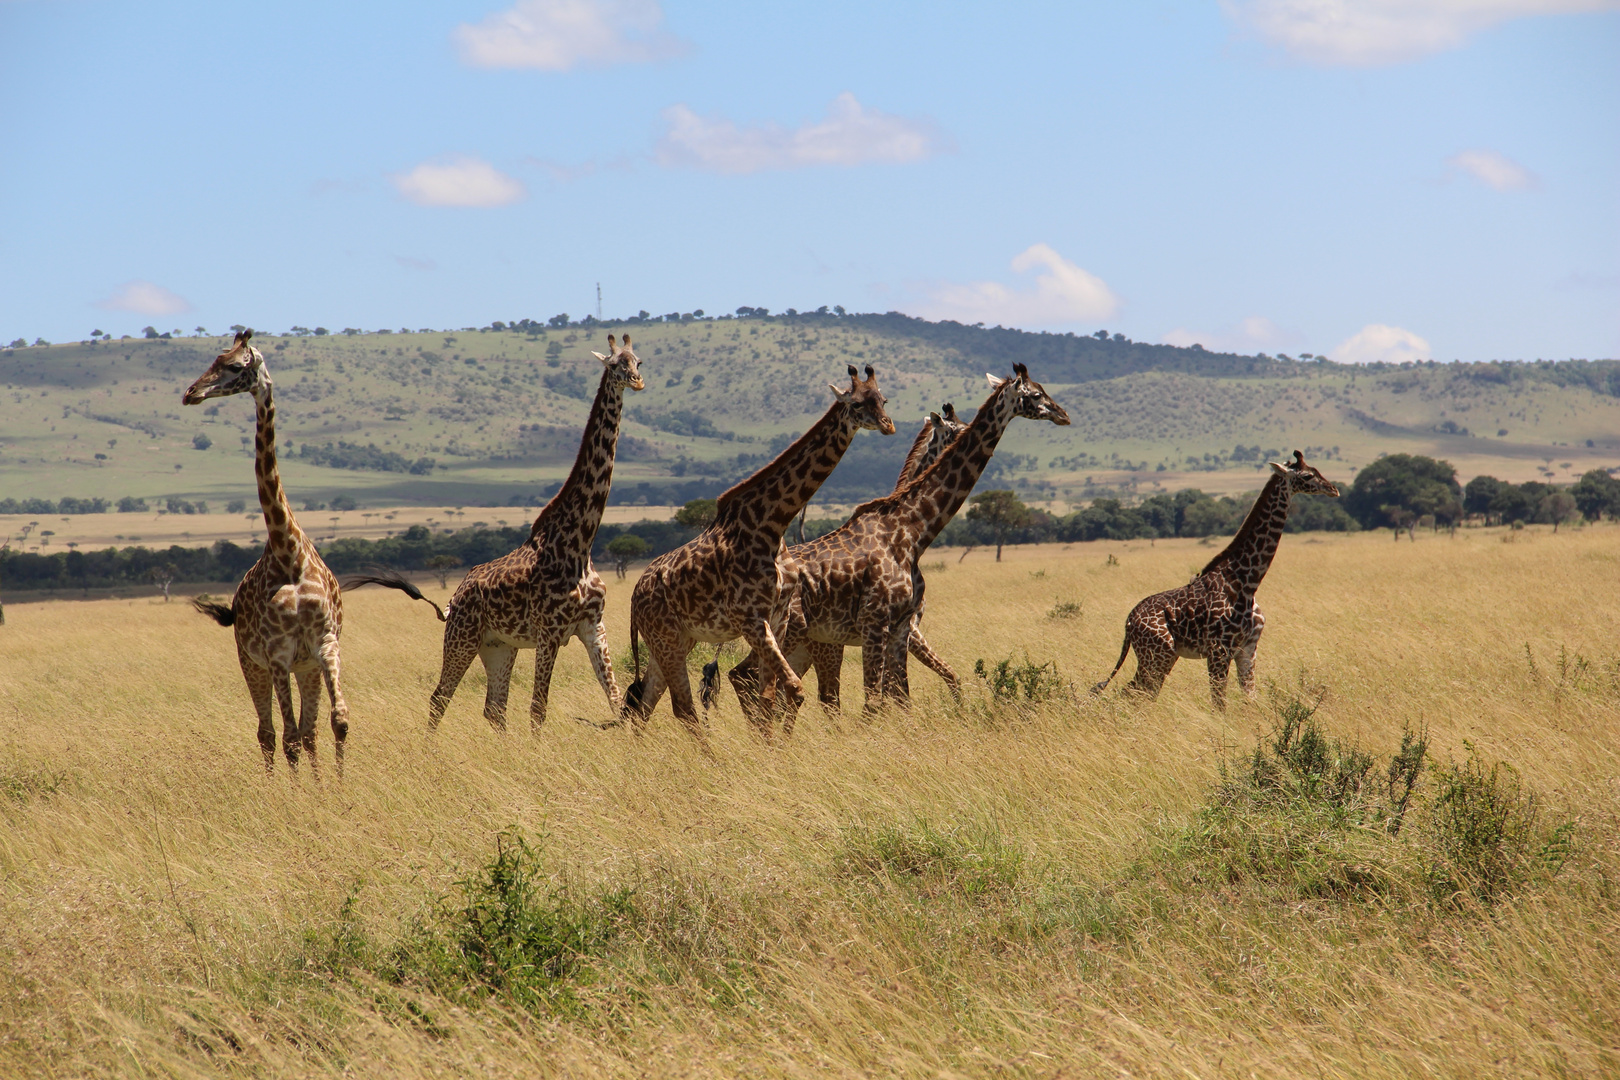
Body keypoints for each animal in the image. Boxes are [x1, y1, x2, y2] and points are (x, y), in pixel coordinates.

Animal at [183, 325, 348, 773]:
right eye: (214, 360)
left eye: (234, 365)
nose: (190, 393)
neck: (288, 551)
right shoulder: (276, 654)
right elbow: (287, 736)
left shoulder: (324, 644)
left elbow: (338, 722)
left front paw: (338, 785)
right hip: (251, 662)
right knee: (269, 734)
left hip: (305, 667)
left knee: (307, 732)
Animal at [349, 333, 644, 731]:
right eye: (614, 365)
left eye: (638, 362)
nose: (637, 382)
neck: (580, 543)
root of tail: (453, 598)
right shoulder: (549, 632)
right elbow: (538, 709)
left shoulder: (593, 627)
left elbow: (615, 701)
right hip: (462, 638)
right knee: (439, 699)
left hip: (499, 646)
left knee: (494, 708)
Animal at [622, 362, 900, 744]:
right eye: (857, 404)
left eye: (883, 399)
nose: (889, 426)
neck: (772, 523)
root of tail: (635, 595)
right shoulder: (751, 618)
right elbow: (792, 690)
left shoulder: (778, 617)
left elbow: (768, 698)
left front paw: (772, 750)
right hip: (666, 639)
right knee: (682, 709)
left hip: (677, 639)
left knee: (644, 703)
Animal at [729, 362, 1069, 718]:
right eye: (1036, 395)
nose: (1063, 415)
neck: (911, 531)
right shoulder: (877, 622)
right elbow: (878, 701)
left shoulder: (901, 626)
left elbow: (903, 697)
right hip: (796, 634)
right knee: (757, 681)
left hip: (802, 640)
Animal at [1088, 446, 1341, 709]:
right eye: (1308, 476)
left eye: (1317, 470)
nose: (1334, 489)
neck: (1247, 581)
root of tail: (1128, 623)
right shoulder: (1219, 650)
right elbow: (1219, 704)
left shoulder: (1248, 648)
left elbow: (1250, 700)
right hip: (1158, 654)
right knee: (1133, 692)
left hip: (1161, 656)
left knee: (1139, 693)